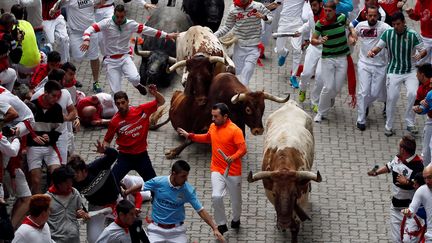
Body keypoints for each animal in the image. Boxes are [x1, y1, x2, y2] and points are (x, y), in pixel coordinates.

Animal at [246, 100, 320, 243]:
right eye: (275, 193)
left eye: (294, 194)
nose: (284, 223)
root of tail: (290, 104)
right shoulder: (269, 193)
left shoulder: (302, 198)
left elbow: (296, 224)